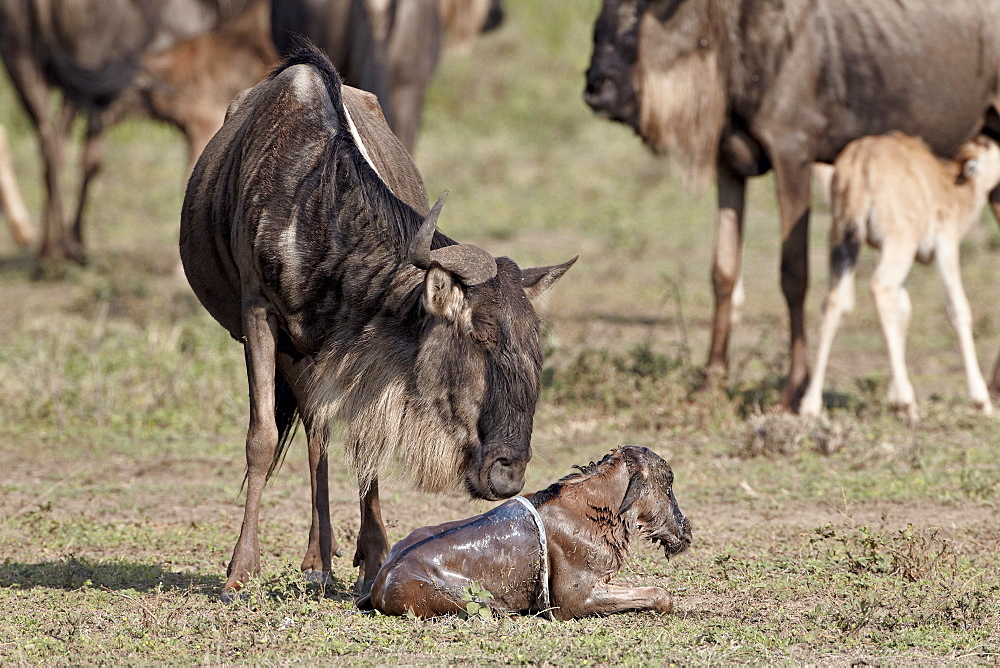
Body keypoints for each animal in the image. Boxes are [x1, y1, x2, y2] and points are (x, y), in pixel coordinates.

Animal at [356, 446, 692, 620]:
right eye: (669, 483)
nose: (686, 531)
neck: (598, 507)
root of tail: (382, 581)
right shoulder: (573, 602)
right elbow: (661, 595)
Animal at [800, 133, 1000, 420]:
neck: (950, 185)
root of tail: (861, 162)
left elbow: (903, 310)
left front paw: (894, 397)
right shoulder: (946, 246)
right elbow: (958, 308)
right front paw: (980, 401)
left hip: (842, 239)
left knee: (835, 301)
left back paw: (810, 405)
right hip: (899, 243)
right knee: (879, 287)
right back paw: (906, 401)